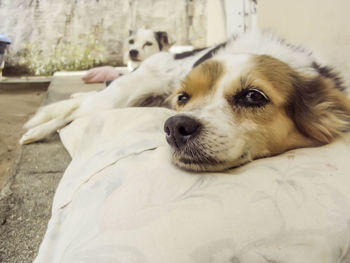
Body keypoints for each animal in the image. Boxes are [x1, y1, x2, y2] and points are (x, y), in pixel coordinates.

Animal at [19, 31, 350, 173]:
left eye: (254, 96)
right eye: (183, 97)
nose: (175, 127)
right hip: (116, 99)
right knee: (73, 114)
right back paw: (36, 130)